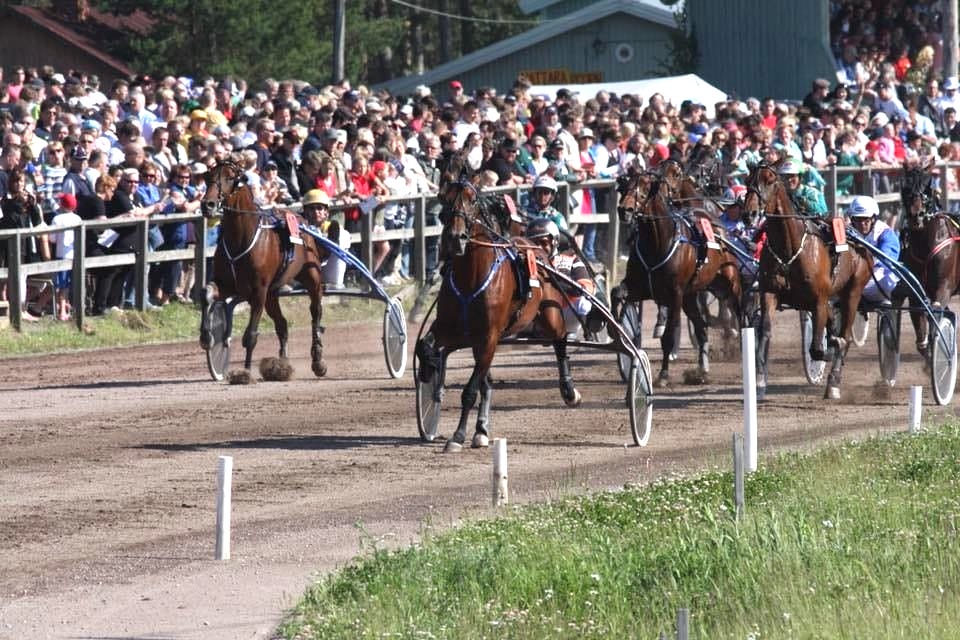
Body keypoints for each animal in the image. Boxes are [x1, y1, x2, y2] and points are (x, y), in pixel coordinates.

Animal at [199, 160, 330, 378]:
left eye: (229, 178)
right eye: (208, 177)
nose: (207, 204)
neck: (240, 238)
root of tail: (303, 222)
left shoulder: (259, 291)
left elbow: (250, 336)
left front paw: (245, 372)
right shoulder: (226, 284)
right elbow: (206, 293)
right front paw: (206, 337)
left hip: (311, 276)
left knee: (316, 313)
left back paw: (318, 360)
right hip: (272, 294)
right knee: (282, 325)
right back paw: (282, 365)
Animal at [414, 178, 576, 452]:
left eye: (472, 200)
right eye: (445, 199)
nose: (455, 238)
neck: (471, 276)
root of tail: (536, 248)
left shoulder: (489, 336)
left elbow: (470, 391)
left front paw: (457, 436)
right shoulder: (450, 328)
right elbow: (425, 346)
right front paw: (429, 370)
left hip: (550, 314)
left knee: (560, 339)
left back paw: (568, 390)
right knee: (486, 381)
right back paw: (481, 430)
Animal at [616, 160, 744, 384]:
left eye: (644, 187)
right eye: (625, 186)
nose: (625, 210)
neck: (658, 242)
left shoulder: (674, 294)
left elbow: (668, 336)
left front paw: (663, 375)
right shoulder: (639, 287)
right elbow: (617, 294)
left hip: (729, 282)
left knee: (738, 311)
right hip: (690, 296)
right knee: (701, 328)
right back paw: (701, 370)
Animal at [748, 162, 872, 398]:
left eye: (770, 180)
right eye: (747, 180)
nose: (748, 212)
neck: (789, 249)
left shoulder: (819, 300)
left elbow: (817, 348)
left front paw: (829, 350)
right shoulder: (769, 292)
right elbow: (764, 333)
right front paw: (758, 382)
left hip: (853, 292)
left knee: (845, 336)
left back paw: (833, 382)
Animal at [900, 156, 960, 356]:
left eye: (927, 186)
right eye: (905, 187)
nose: (916, 216)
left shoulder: (943, 288)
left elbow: (936, 318)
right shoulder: (915, 292)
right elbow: (921, 331)